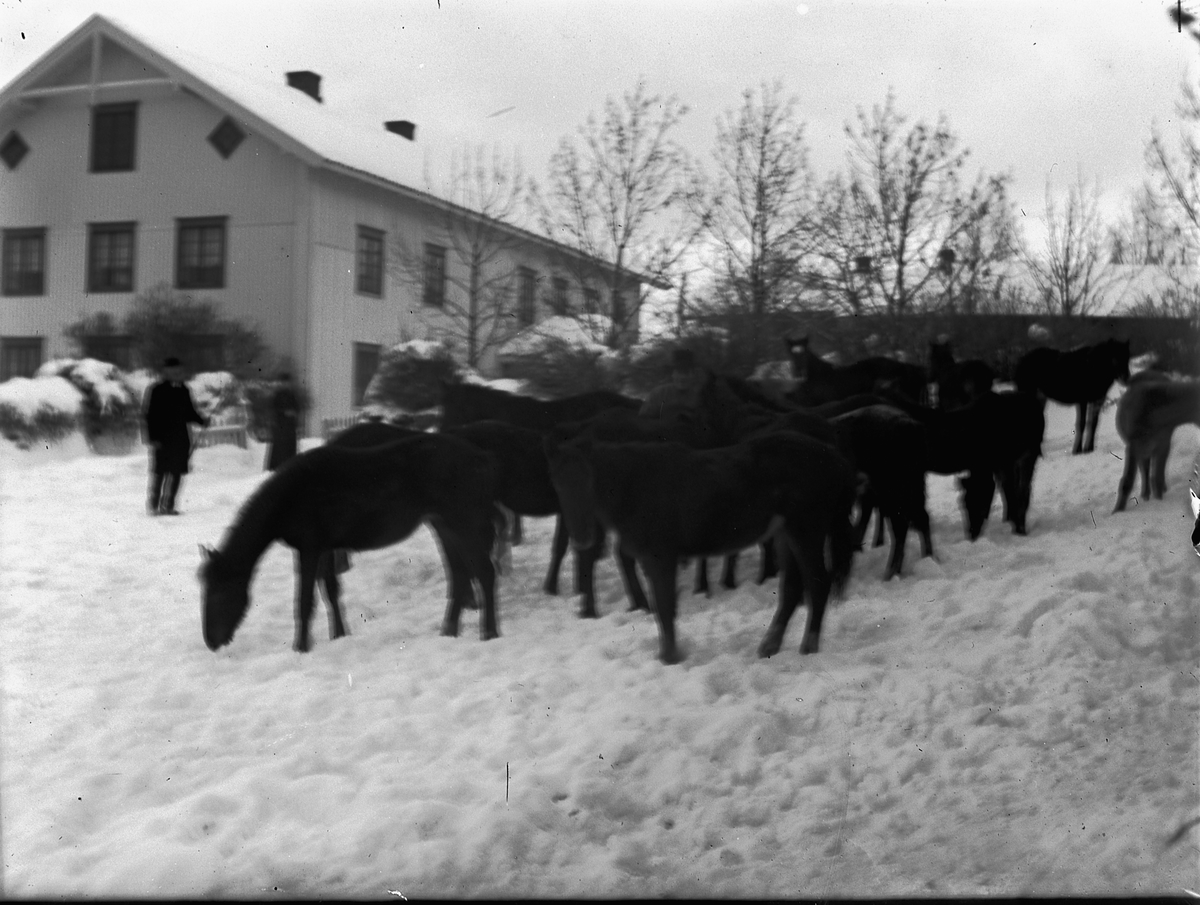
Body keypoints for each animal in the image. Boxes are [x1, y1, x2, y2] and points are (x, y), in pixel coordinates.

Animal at [199, 434, 499, 652]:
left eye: (220, 591)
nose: (211, 641)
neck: (291, 496)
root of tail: (482, 457)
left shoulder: (308, 549)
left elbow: (305, 601)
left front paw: (301, 647)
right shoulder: (326, 549)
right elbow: (331, 592)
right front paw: (339, 635)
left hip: (463, 524)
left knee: (484, 573)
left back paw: (490, 633)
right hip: (444, 526)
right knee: (459, 576)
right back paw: (448, 632)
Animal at [549, 429, 859, 662]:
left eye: (591, 481)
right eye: (559, 485)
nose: (581, 537)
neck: (637, 486)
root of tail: (837, 459)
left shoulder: (660, 557)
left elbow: (663, 607)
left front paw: (670, 657)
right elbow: (663, 607)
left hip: (806, 531)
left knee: (818, 582)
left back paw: (808, 647)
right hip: (786, 535)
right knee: (793, 588)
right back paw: (770, 645)